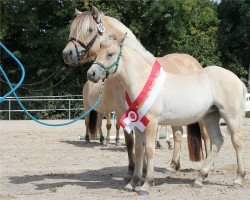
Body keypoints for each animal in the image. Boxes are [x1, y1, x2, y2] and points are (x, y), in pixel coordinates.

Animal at [62, 6, 209, 175]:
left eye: (89, 30)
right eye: (72, 29)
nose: (67, 54)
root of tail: (194, 62)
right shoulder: (123, 112)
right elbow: (131, 141)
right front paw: (137, 168)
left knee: (206, 135)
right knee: (178, 134)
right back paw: (173, 165)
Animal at [87, 34, 247, 195]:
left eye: (110, 54)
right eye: (97, 53)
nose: (91, 74)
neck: (142, 81)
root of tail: (237, 80)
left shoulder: (152, 122)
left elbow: (149, 150)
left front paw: (146, 185)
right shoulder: (138, 124)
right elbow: (139, 150)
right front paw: (133, 182)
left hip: (230, 115)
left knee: (237, 141)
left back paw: (238, 180)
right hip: (211, 116)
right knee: (217, 141)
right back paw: (200, 179)